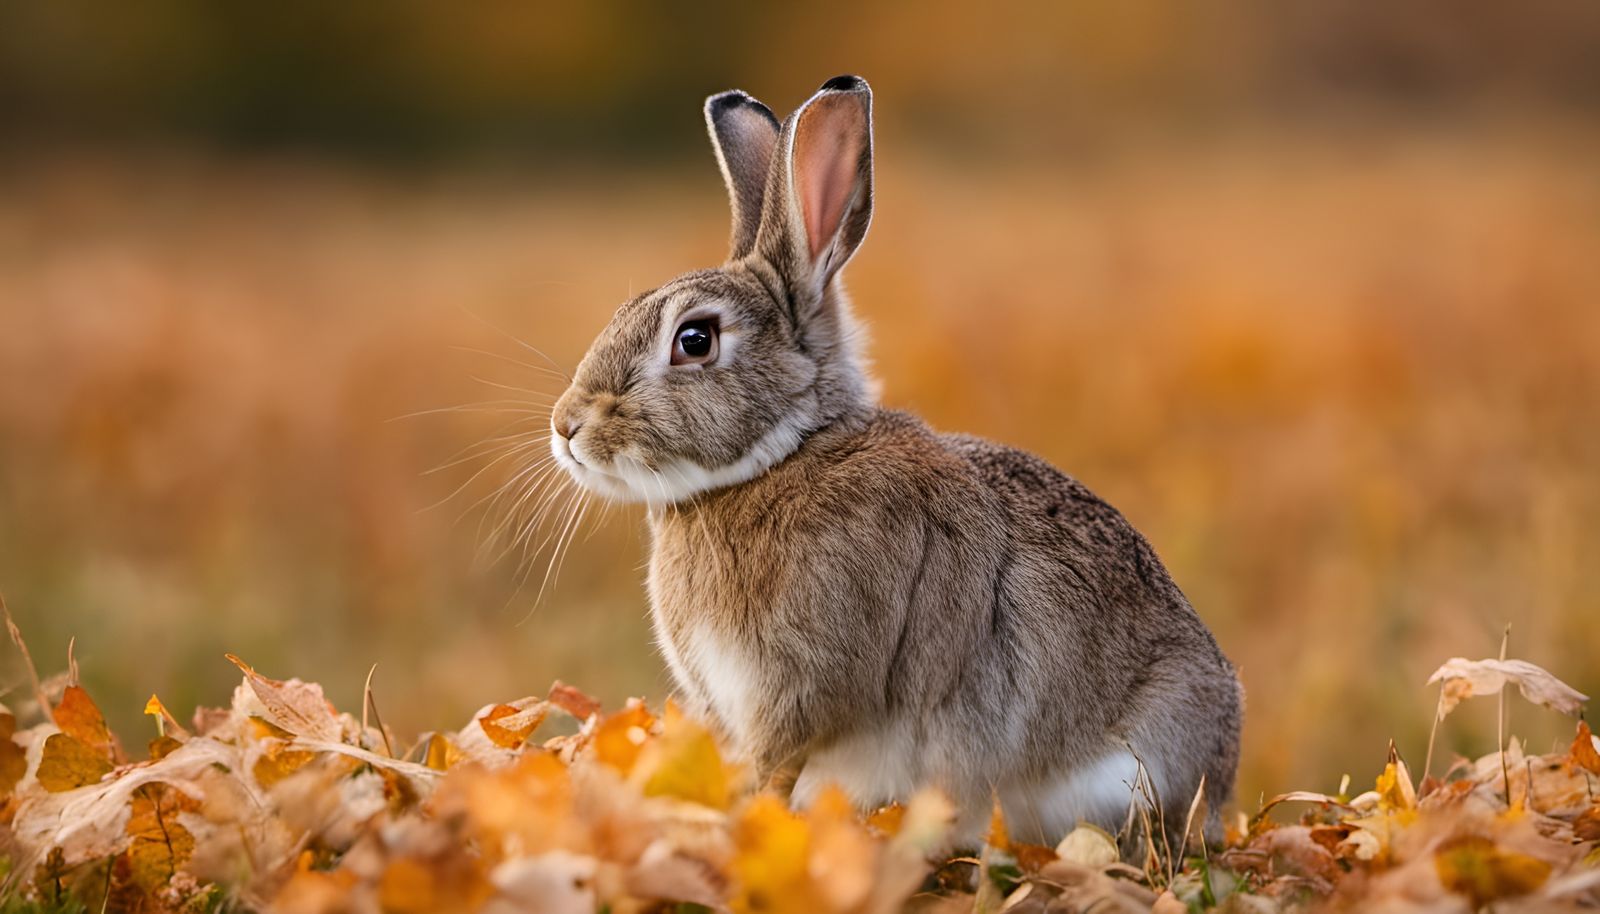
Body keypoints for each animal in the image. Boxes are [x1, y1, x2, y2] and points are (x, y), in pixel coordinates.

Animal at [548, 74, 1243, 849]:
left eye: (694, 340)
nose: (567, 427)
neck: (784, 457)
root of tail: (1221, 765)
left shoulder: (807, 678)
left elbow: (779, 764)